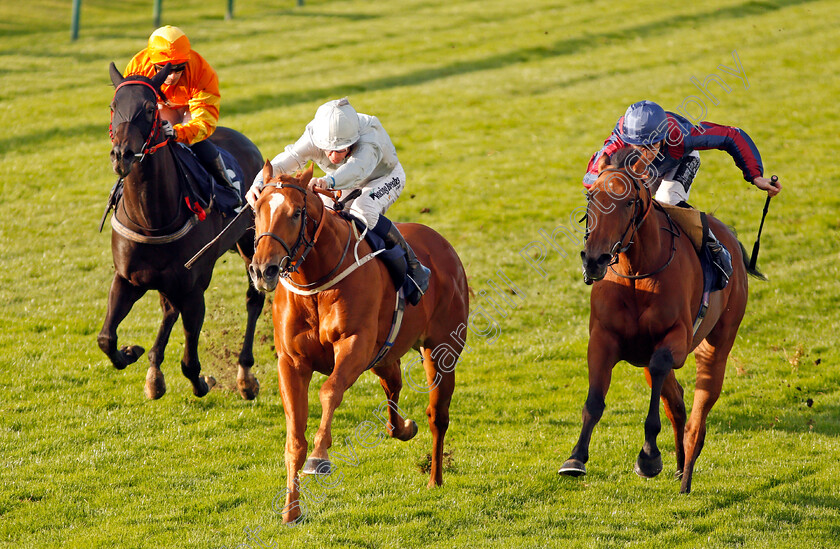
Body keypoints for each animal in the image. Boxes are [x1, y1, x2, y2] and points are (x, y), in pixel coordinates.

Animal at [102, 63, 266, 398]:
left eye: (149, 109)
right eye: (113, 106)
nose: (122, 155)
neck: (152, 220)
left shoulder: (194, 288)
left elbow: (190, 363)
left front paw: (205, 381)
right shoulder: (126, 279)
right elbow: (107, 339)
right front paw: (132, 352)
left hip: (250, 242)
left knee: (253, 299)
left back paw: (245, 376)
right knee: (168, 309)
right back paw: (154, 369)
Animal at [249, 163, 472, 524]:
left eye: (296, 212)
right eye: (257, 210)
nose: (262, 269)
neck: (317, 282)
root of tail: (443, 245)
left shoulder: (355, 345)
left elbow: (329, 392)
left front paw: (319, 458)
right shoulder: (292, 362)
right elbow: (294, 437)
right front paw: (291, 510)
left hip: (442, 350)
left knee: (437, 415)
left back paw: (434, 478)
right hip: (385, 356)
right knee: (394, 387)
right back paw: (403, 428)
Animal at [556, 149, 760, 492]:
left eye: (628, 201)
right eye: (591, 196)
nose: (595, 259)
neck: (637, 274)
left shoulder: (674, 341)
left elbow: (660, 379)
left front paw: (649, 457)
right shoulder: (602, 340)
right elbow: (595, 401)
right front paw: (576, 458)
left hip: (717, 345)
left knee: (697, 414)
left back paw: (686, 473)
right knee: (676, 403)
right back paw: (679, 465)